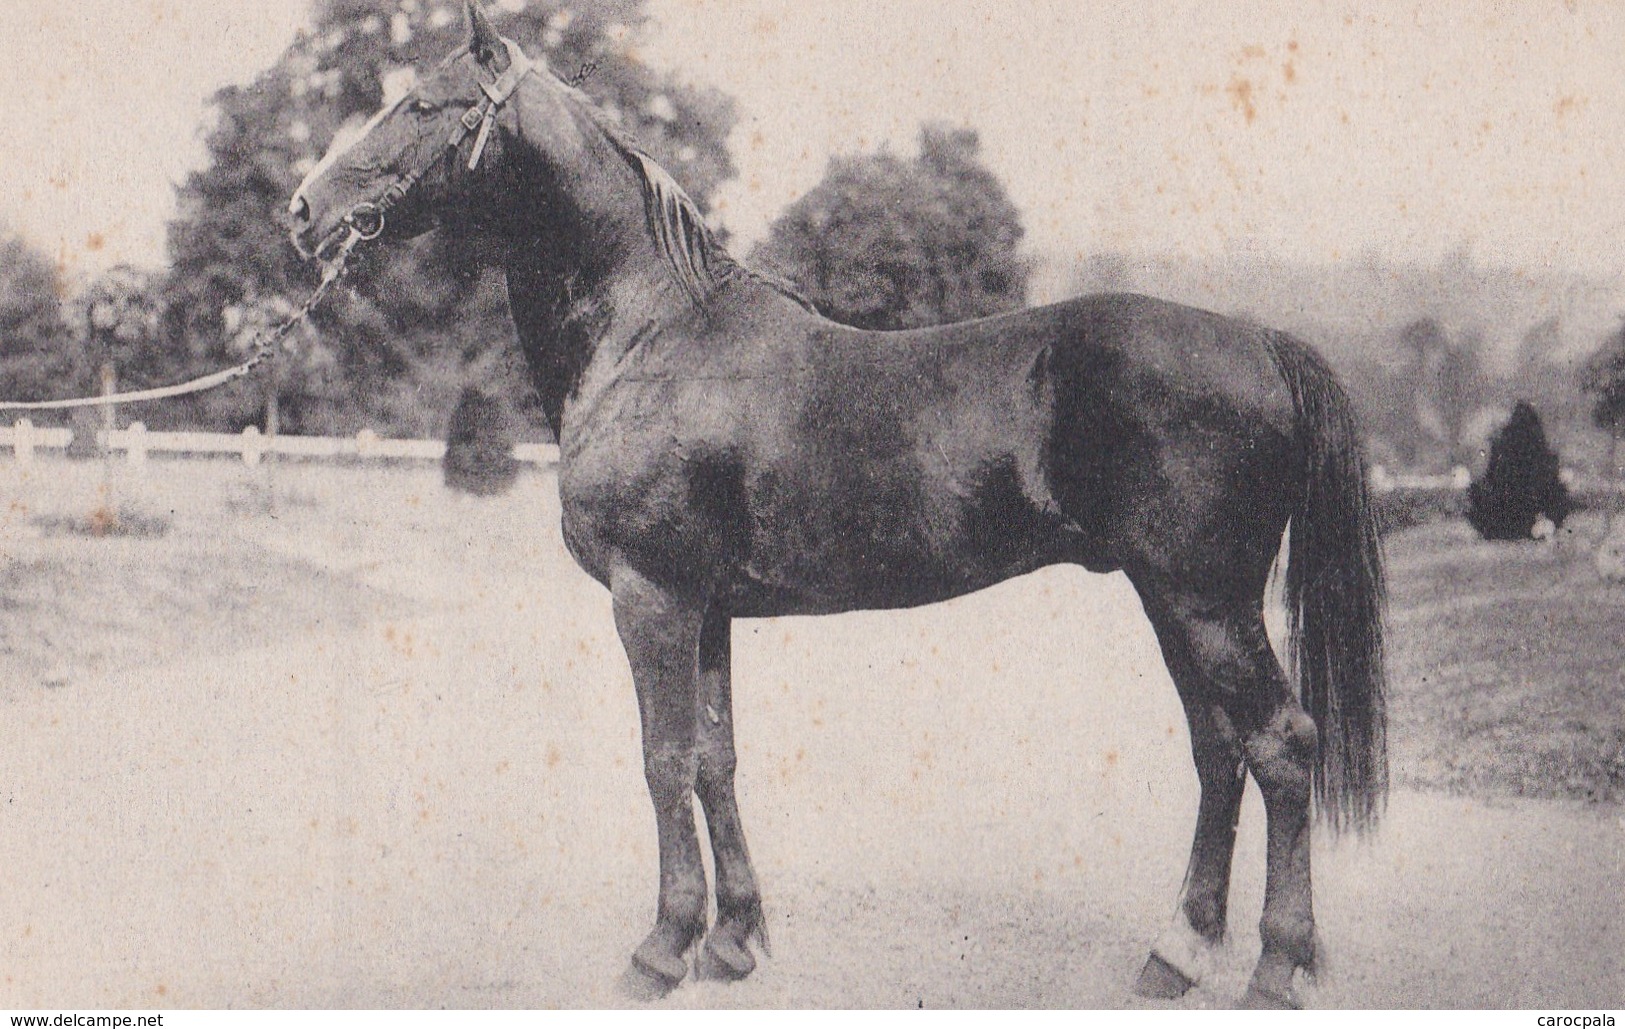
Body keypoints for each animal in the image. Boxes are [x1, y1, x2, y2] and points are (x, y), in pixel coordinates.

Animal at [289, 4, 1384, 1007]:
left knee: (1281, 746)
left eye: (423, 106)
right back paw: (1174, 956)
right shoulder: (709, 609)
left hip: (1206, 600)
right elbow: (715, 761)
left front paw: (661, 948)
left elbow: (661, 760)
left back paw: (1274, 968)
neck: (652, 337)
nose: (304, 210)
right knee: (1218, 752)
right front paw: (732, 941)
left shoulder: (652, 597)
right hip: (1170, 599)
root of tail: (1260, 341)